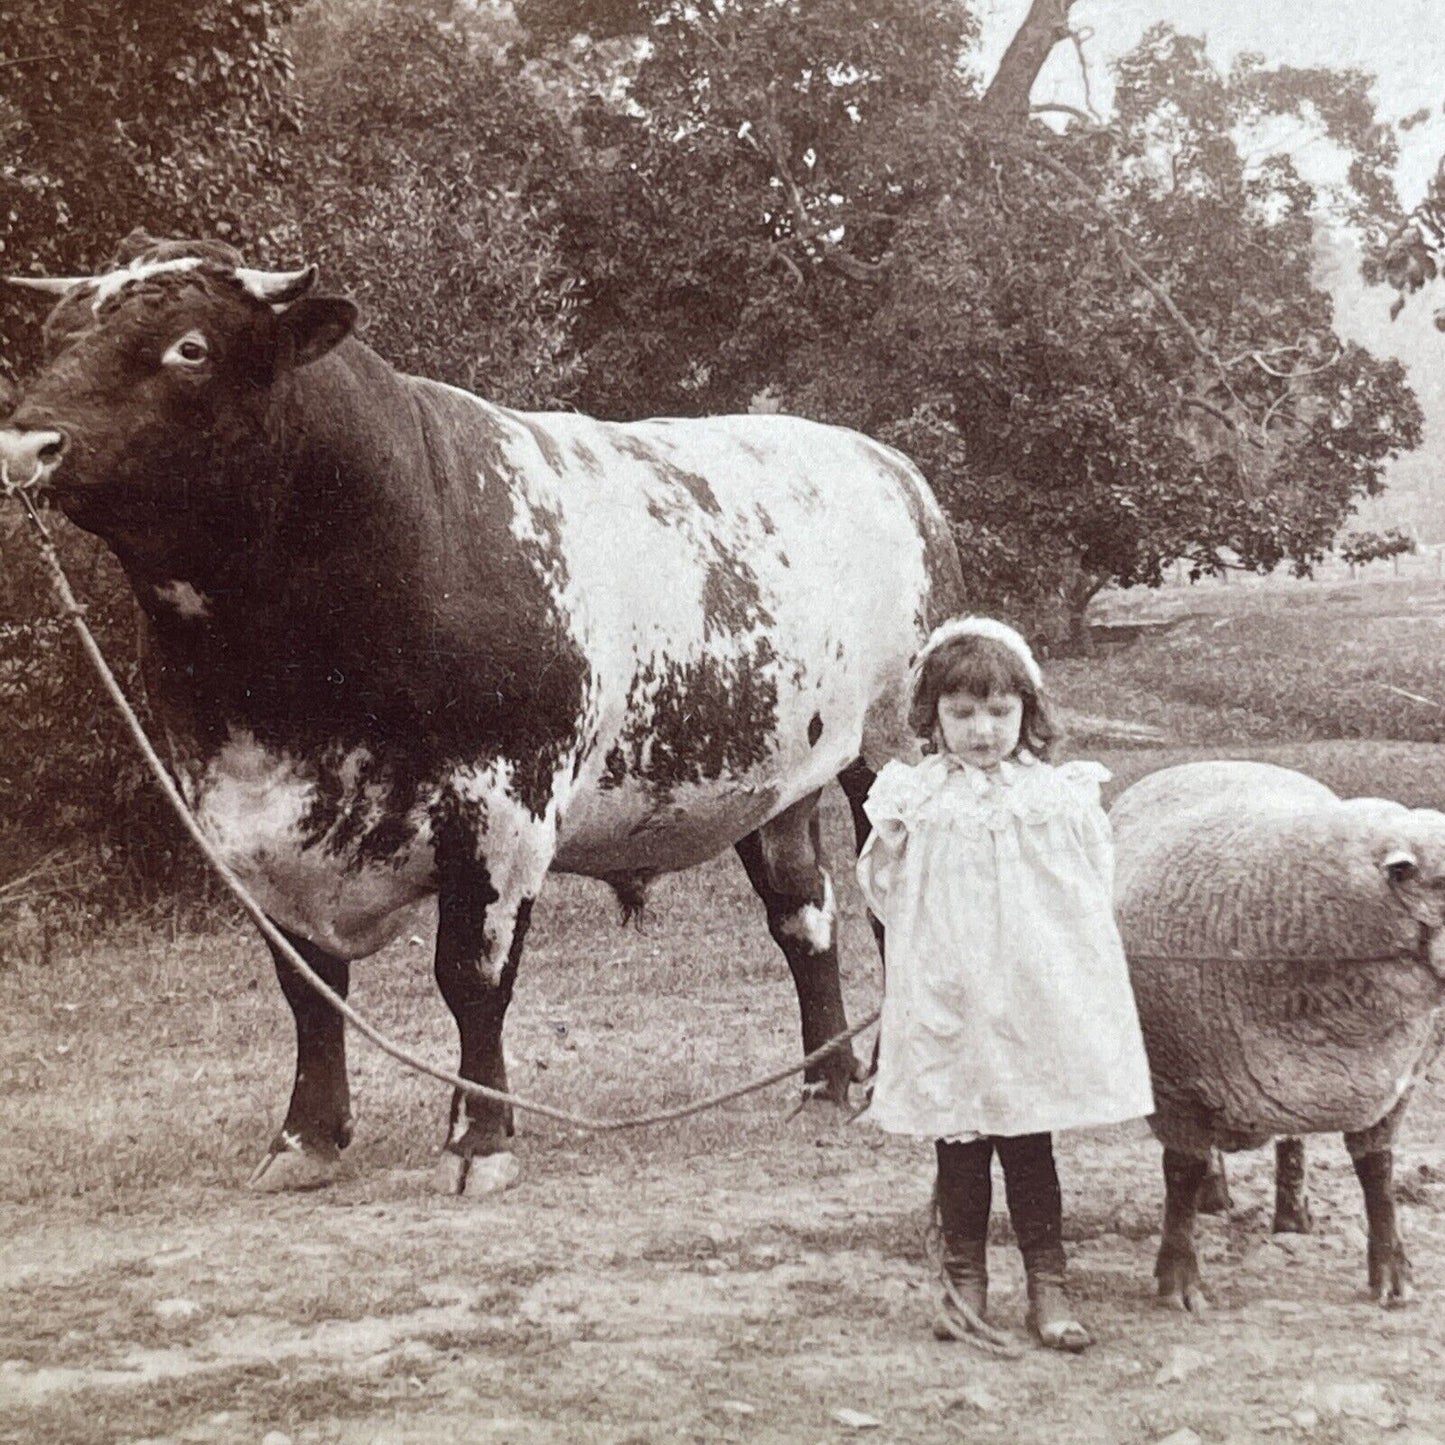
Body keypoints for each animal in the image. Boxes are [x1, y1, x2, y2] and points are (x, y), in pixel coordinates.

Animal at [2, 231, 971, 1190]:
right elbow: (309, 988)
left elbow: (470, 977)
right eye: (53, 335)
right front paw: (303, 1138)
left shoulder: (502, 808)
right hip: (782, 780)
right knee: (803, 915)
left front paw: (480, 1136)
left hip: (892, 749)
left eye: (190, 348)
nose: (25, 446)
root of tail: (890, 467)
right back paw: (824, 1082)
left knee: (884, 912)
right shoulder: (244, 823)